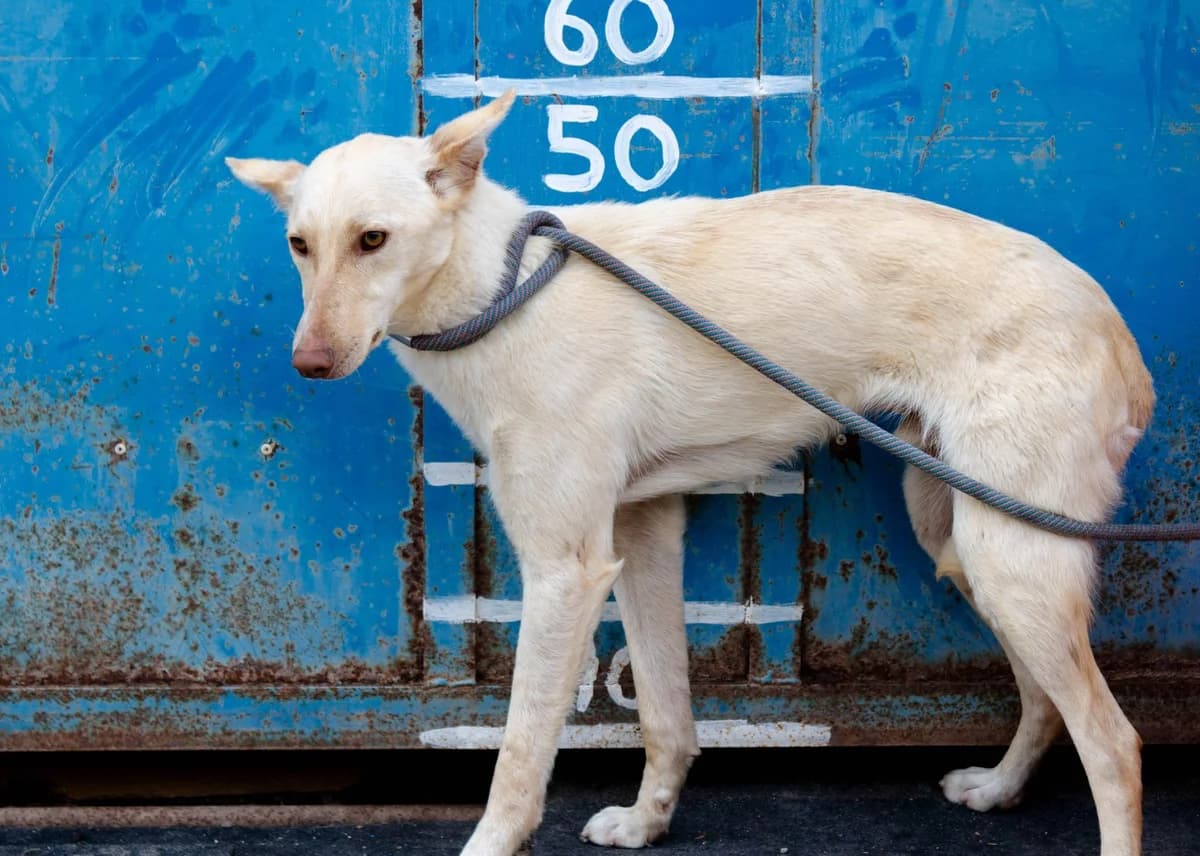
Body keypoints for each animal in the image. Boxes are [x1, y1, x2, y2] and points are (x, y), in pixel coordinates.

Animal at [227, 91, 1154, 856]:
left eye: (373, 240)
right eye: (300, 245)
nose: (309, 363)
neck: (506, 291)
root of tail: (1114, 327)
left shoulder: (565, 569)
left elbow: (520, 755)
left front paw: (494, 843)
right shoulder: (642, 532)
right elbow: (667, 717)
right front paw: (648, 823)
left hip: (1013, 558)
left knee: (1115, 744)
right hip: (967, 541)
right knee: (1046, 701)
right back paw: (998, 790)